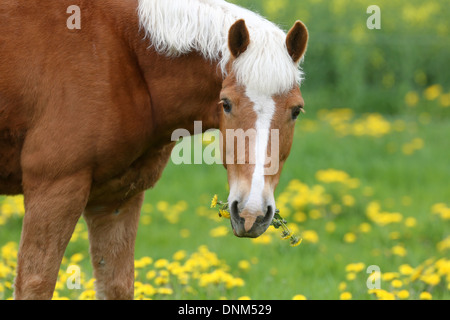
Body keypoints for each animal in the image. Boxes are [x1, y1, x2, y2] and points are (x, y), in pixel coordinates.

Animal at [0, 0, 308, 300]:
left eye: (296, 111)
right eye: (226, 104)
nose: (250, 213)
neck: (120, 53)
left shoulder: (116, 199)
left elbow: (117, 285)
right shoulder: (55, 190)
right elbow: (36, 284)